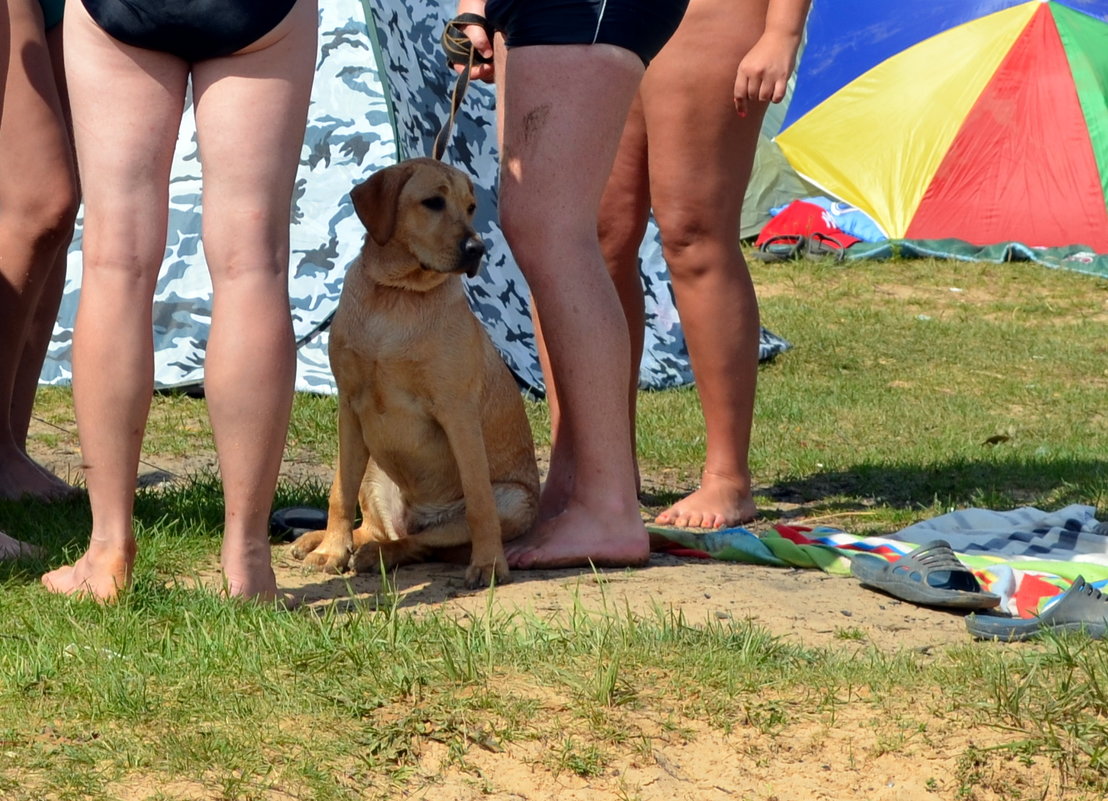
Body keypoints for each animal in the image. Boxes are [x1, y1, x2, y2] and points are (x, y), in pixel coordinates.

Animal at [292, 159, 538, 589]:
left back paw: (379, 554)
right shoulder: (349, 408)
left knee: (420, 541)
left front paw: (489, 564)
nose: (477, 249)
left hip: (513, 500)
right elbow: (339, 491)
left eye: (471, 207)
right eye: (433, 202)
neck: (396, 294)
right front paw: (331, 550)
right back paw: (320, 540)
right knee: (377, 528)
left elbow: (479, 503)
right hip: (373, 465)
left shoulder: (457, 411)